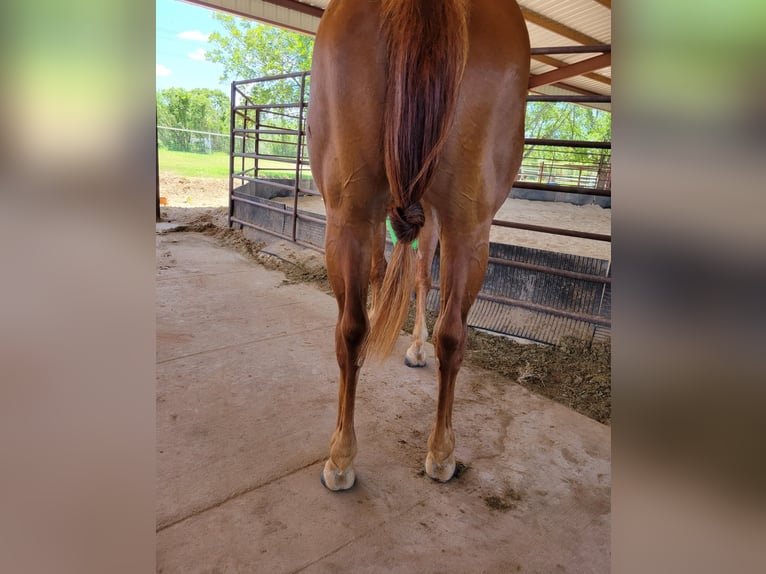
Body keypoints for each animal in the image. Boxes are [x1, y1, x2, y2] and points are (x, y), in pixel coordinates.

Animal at [308, 1, 532, 496]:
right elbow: (417, 277)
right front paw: (411, 342)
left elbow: (388, 269)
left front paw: (400, 333)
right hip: (469, 223)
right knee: (451, 334)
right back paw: (441, 453)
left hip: (350, 214)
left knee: (350, 329)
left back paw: (341, 457)